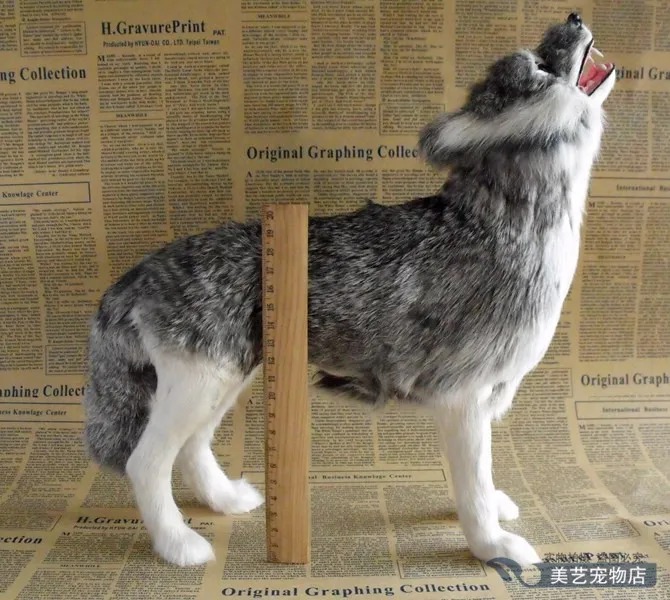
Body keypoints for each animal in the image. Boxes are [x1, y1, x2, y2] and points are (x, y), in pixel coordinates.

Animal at [82, 13, 615, 568]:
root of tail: (136, 275)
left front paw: (494, 512)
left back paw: (225, 499)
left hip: (224, 381)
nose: (574, 17)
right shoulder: (463, 400)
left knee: (191, 448)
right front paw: (491, 546)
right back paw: (178, 544)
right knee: (146, 462)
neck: (497, 228)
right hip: (201, 384)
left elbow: (479, 481)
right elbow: (471, 487)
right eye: (538, 65)